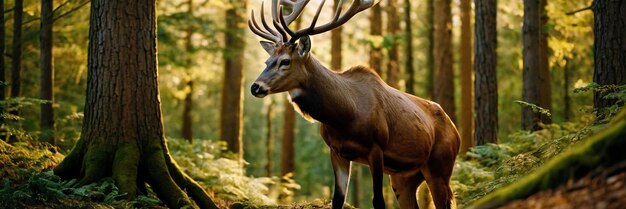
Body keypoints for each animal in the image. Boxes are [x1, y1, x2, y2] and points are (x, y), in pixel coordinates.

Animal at [247, 0, 458, 208]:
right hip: (404, 177)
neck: (345, 116)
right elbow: (338, 198)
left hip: (440, 166)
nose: (255, 87)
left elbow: (378, 200)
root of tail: (456, 131)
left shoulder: (376, 146)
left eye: (285, 61)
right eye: (267, 61)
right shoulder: (337, 151)